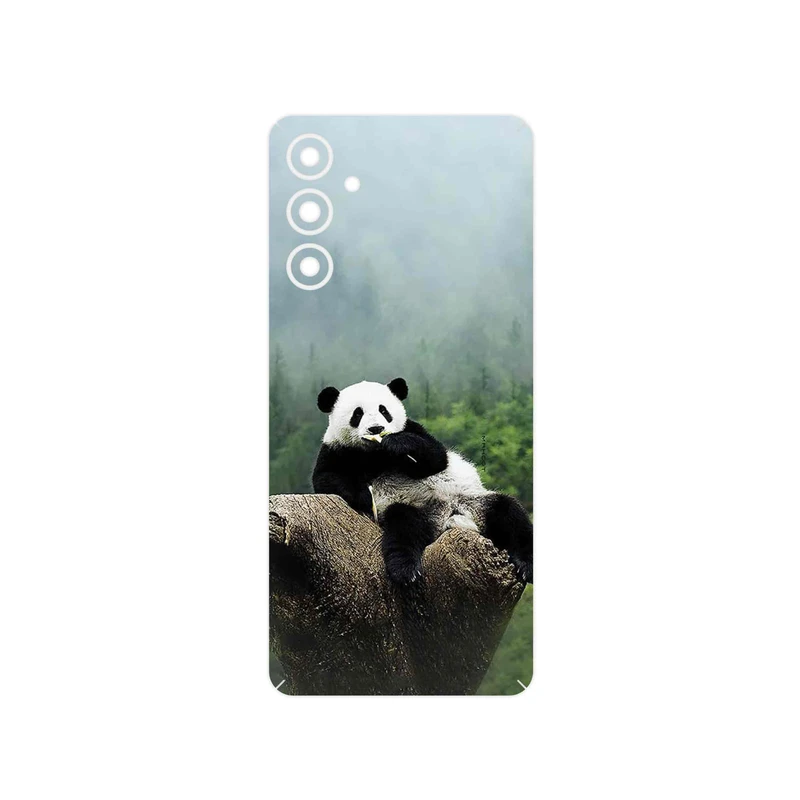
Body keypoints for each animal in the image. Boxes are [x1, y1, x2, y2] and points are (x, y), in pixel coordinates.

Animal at [312, 377, 533, 585]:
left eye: (384, 410)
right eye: (357, 414)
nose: (376, 428)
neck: (375, 453)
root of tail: (448, 517)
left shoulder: (413, 429)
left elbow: (436, 457)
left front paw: (397, 443)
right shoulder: (336, 450)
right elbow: (326, 478)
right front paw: (365, 497)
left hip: (473, 501)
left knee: (510, 513)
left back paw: (526, 566)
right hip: (415, 509)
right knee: (403, 526)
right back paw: (405, 570)